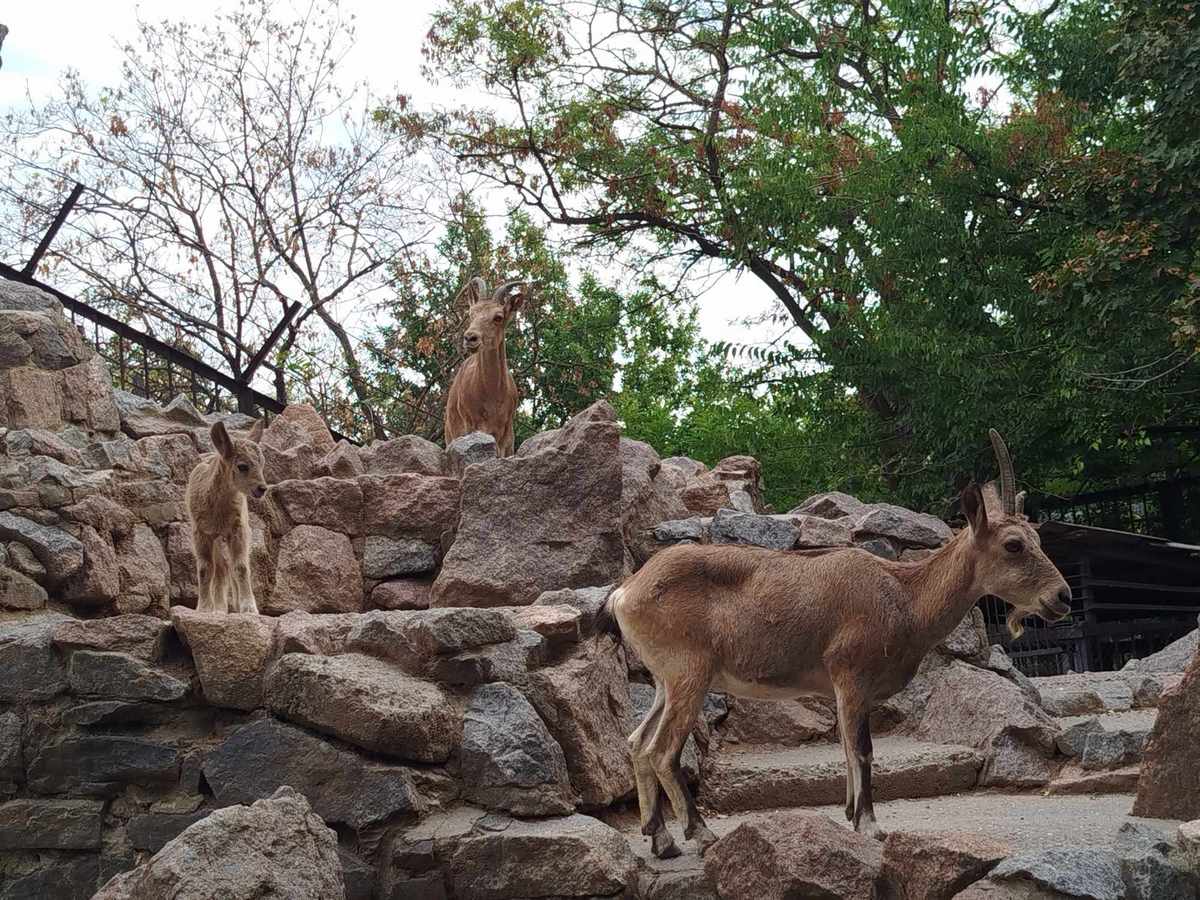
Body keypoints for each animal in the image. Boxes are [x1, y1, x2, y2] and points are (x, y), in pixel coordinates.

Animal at [444, 277, 528, 460]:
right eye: (471, 314)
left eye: (498, 317)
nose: (470, 338)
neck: (492, 396)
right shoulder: (471, 424)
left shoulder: (506, 431)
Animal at [600, 429, 1070, 859]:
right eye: (1014, 545)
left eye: (1038, 539)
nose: (1062, 597)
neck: (905, 597)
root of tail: (625, 593)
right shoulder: (852, 677)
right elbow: (861, 750)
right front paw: (870, 826)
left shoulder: (842, 689)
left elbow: (845, 747)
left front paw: (849, 815)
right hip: (689, 675)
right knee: (662, 751)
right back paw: (699, 835)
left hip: (665, 681)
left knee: (636, 743)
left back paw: (660, 840)